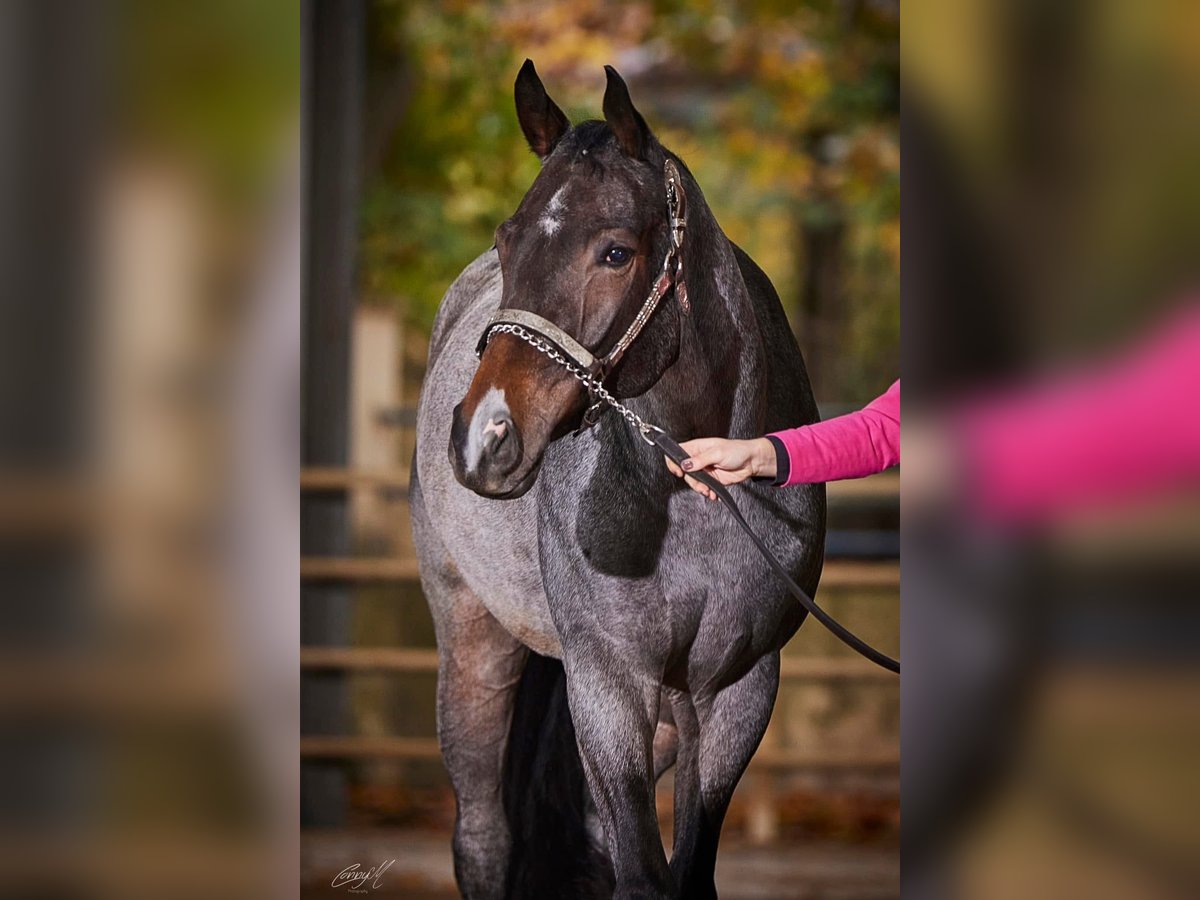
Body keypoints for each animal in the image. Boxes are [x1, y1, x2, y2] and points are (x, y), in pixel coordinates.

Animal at [412, 60, 825, 897]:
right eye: (507, 240)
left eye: (614, 253)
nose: (484, 436)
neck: (689, 497)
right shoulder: (608, 685)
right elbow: (638, 873)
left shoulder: (736, 692)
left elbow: (681, 874)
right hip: (474, 644)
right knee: (483, 837)